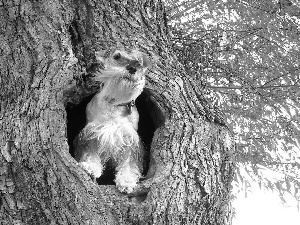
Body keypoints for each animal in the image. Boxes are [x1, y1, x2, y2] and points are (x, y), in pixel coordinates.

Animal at [74, 49, 151, 193]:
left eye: (140, 61)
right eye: (117, 56)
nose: (133, 67)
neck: (115, 103)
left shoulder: (130, 139)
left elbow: (129, 163)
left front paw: (126, 181)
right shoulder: (90, 134)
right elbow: (90, 153)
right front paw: (90, 167)